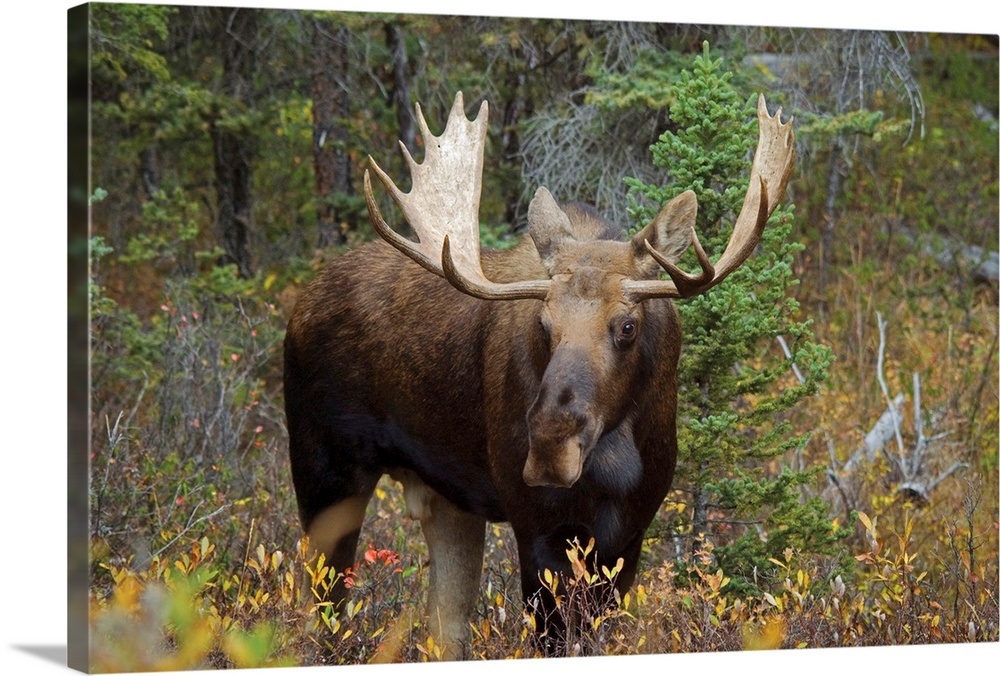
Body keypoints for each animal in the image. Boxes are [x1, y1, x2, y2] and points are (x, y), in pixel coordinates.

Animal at [283, 91, 794, 659]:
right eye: (544, 324)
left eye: (628, 326)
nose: (551, 444)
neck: (615, 463)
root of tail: (299, 305)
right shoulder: (536, 526)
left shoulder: (631, 531)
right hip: (326, 471)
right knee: (326, 609)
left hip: (449, 504)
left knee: (444, 626)